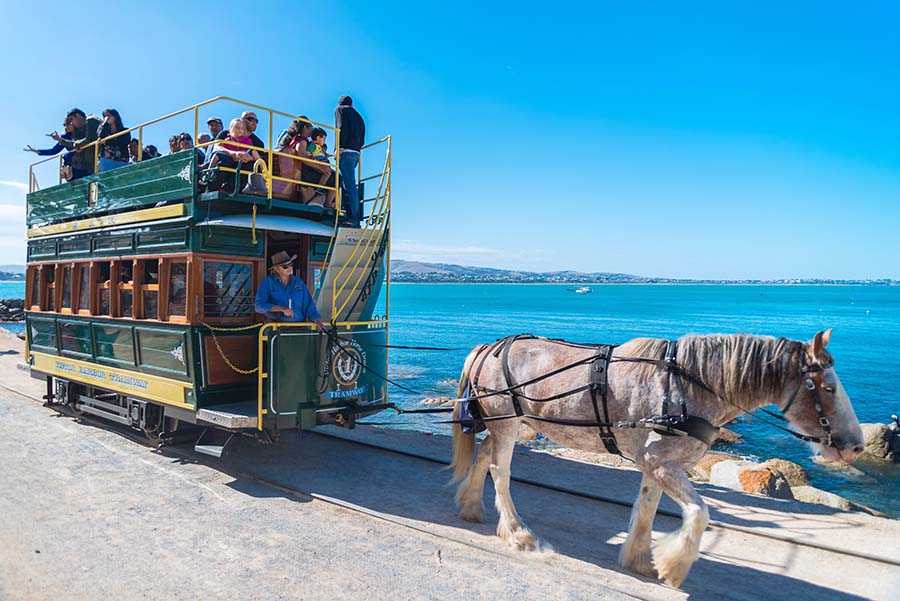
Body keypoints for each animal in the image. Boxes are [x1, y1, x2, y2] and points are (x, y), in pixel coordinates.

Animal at [450, 328, 864, 584]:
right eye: (827, 387)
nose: (857, 445)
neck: (686, 387)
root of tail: (489, 347)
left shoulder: (657, 464)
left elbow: (647, 508)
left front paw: (640, 559)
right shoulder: (660, 462)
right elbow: (699, 513)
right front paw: (675, 565)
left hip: (505, 424)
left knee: (484, 456)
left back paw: (471, 506)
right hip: (507, 423)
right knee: (500, 471)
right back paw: (517, 533)